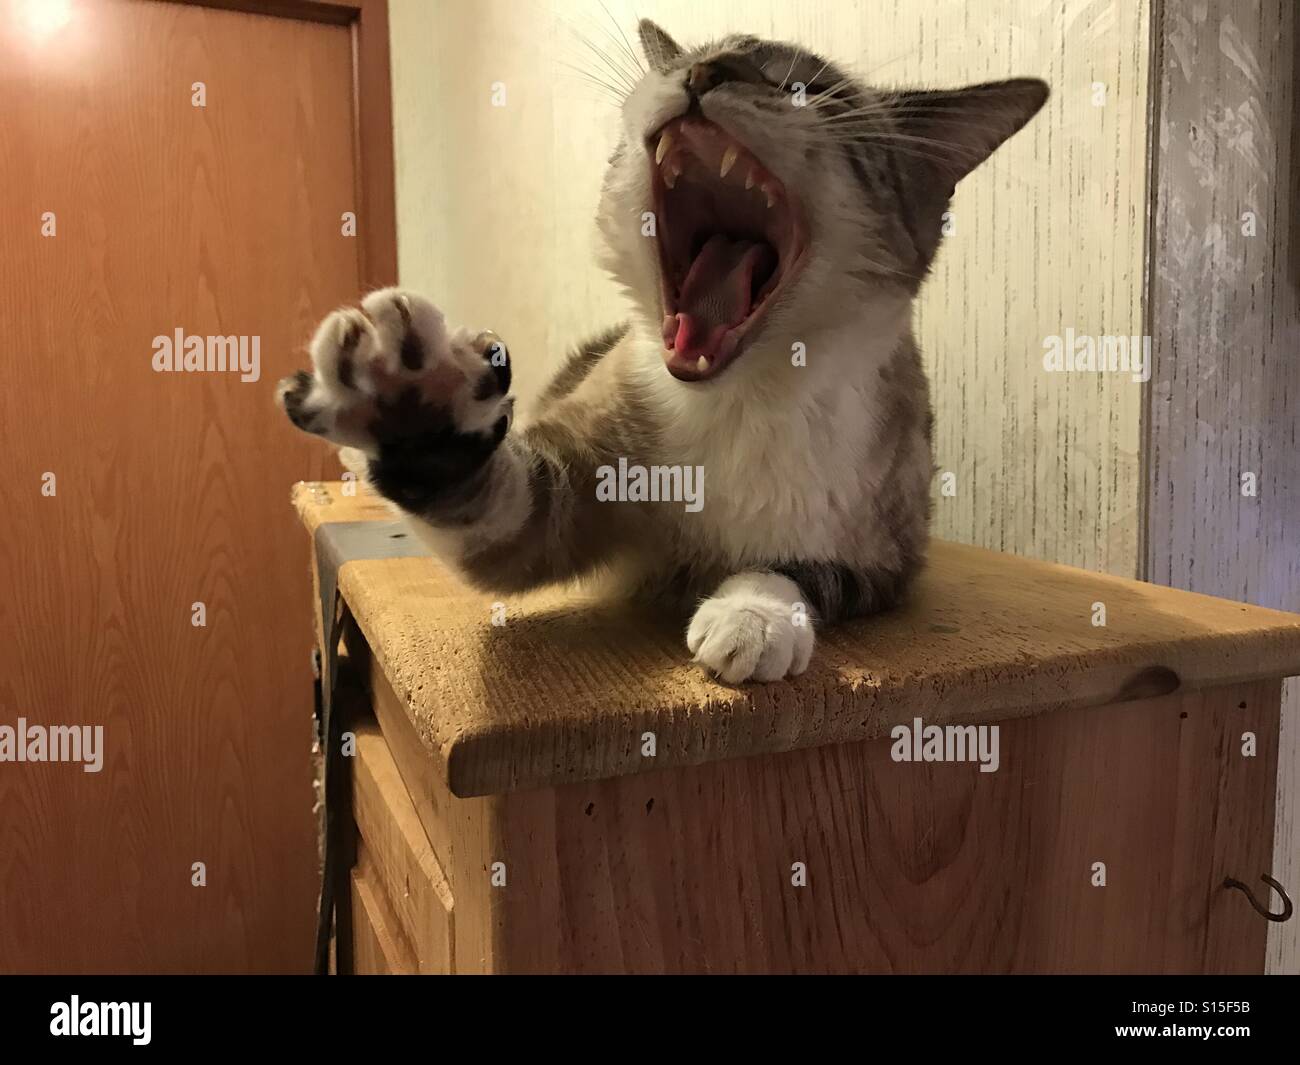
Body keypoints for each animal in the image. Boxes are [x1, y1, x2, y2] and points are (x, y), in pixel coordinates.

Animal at [276, 20, 1045, 681]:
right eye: (690, 59)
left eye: (809, 87)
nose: (708, 72)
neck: (741, 396)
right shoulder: (558, 501)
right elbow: (491, 492)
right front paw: (413, 399)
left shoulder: (890, 562)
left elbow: (794, 569)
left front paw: (750, 618)